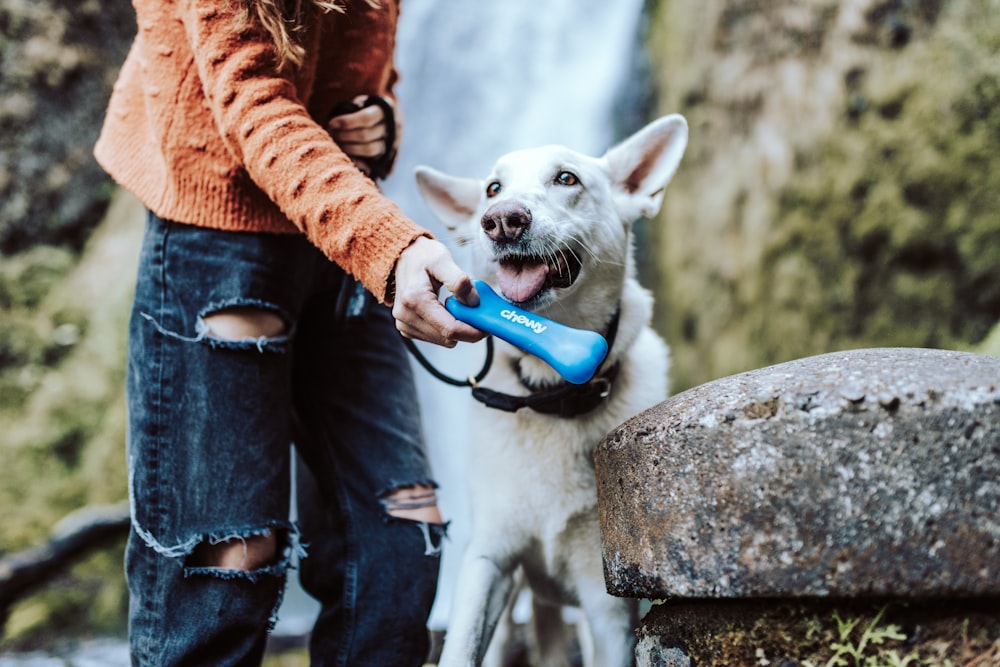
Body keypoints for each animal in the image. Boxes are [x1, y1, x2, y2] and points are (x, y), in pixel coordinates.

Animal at [414, 115, 688, 667]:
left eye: (566, 178)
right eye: (493, 189)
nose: (502, 220)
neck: (550, 395)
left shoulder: (605, 603)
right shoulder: (488, 560)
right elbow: (461, 647)